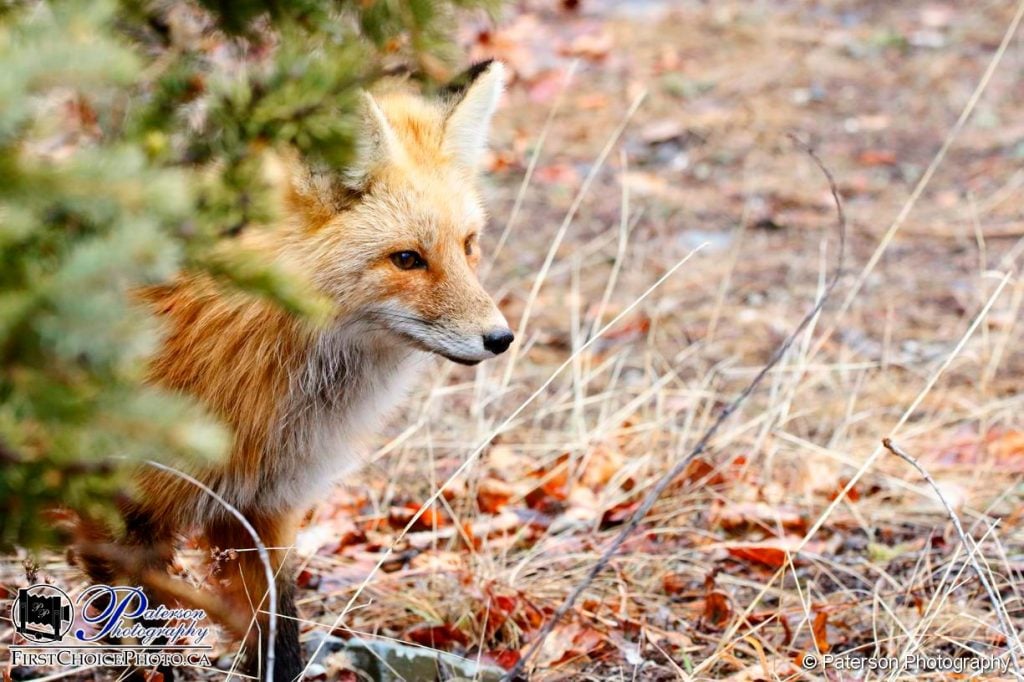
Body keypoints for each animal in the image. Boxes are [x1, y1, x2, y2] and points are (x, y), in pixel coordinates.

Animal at [75, 61, 512, 675]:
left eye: (468, 245)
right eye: (407, 259)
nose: (501, 338)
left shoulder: (263, 510)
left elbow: (279, 636)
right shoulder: (119, 516)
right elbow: (137, 634)